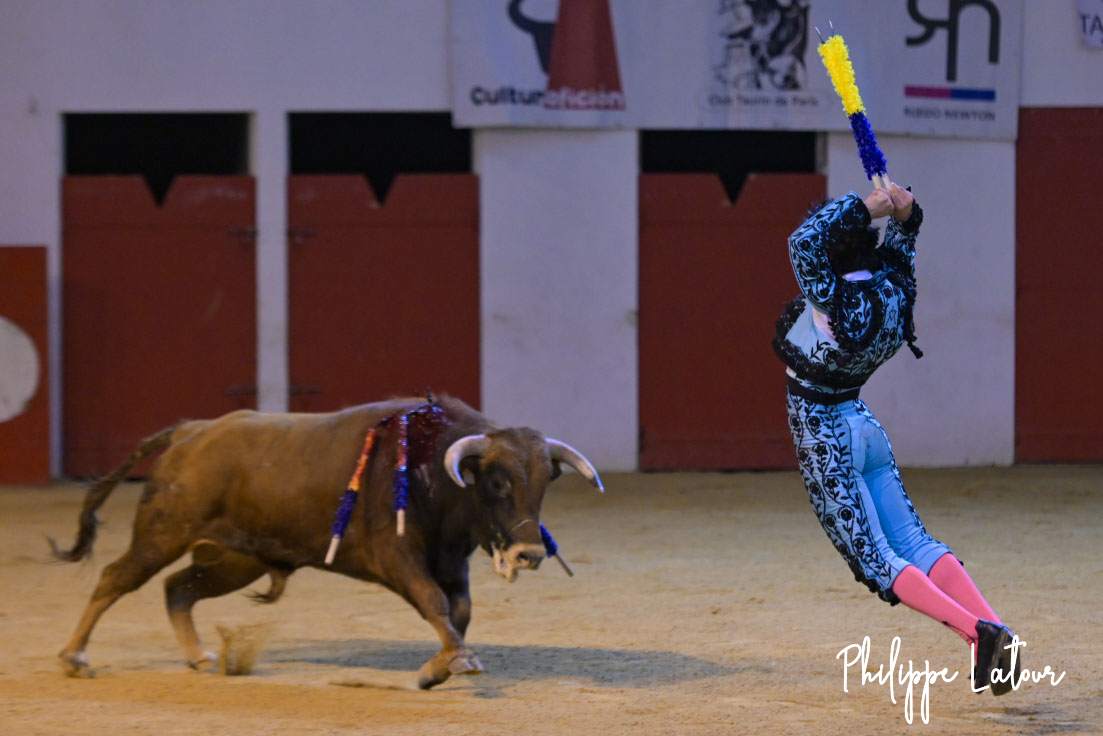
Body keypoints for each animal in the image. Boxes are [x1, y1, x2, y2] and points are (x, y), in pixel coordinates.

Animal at [50, 395, 604, 689]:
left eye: (545, 482)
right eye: (497, 482)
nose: (529, 554)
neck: (431, 470)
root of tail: (191, 432)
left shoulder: (452, 563)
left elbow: (458, 612)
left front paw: (439, 666)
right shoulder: (396, 557)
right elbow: (434, 603)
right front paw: (457, 661)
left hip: (237, 558)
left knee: (179, 588)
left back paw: (201, 657)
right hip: (162, 533)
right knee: (116, 578)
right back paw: (74, 658)